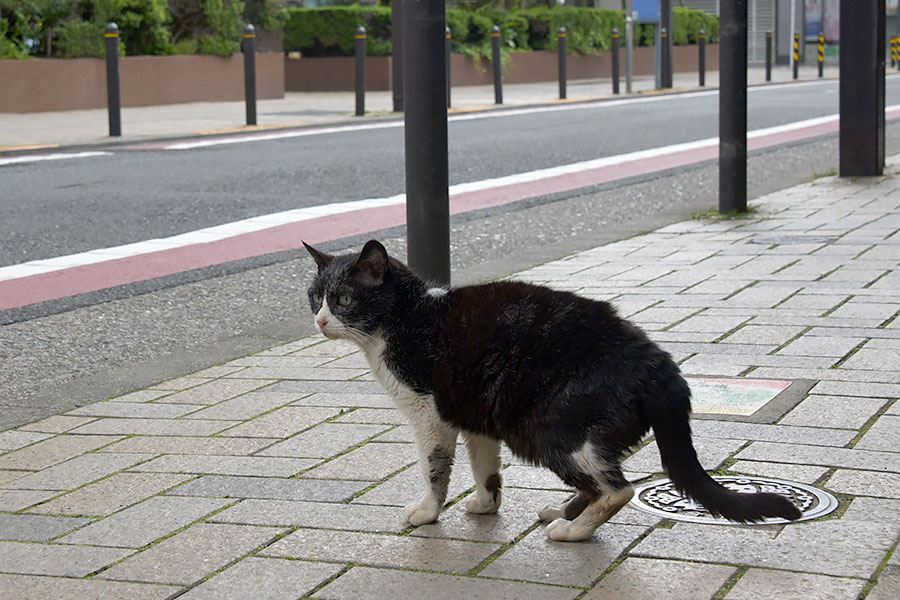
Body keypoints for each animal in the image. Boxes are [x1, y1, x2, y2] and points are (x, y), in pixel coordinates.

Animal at [304, 240, 800, 544]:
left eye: (344, 299)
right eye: (314, 296)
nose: (320, 320)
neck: (405, 317)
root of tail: (660, 365)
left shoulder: (431, 415)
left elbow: (435, 470)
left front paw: (427, 512)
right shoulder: (475, 417)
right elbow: (485, 470)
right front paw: (484, 505)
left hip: (542, 427)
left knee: (617, 490)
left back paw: (572, 531)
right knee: (599, 481)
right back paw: (564, 513)